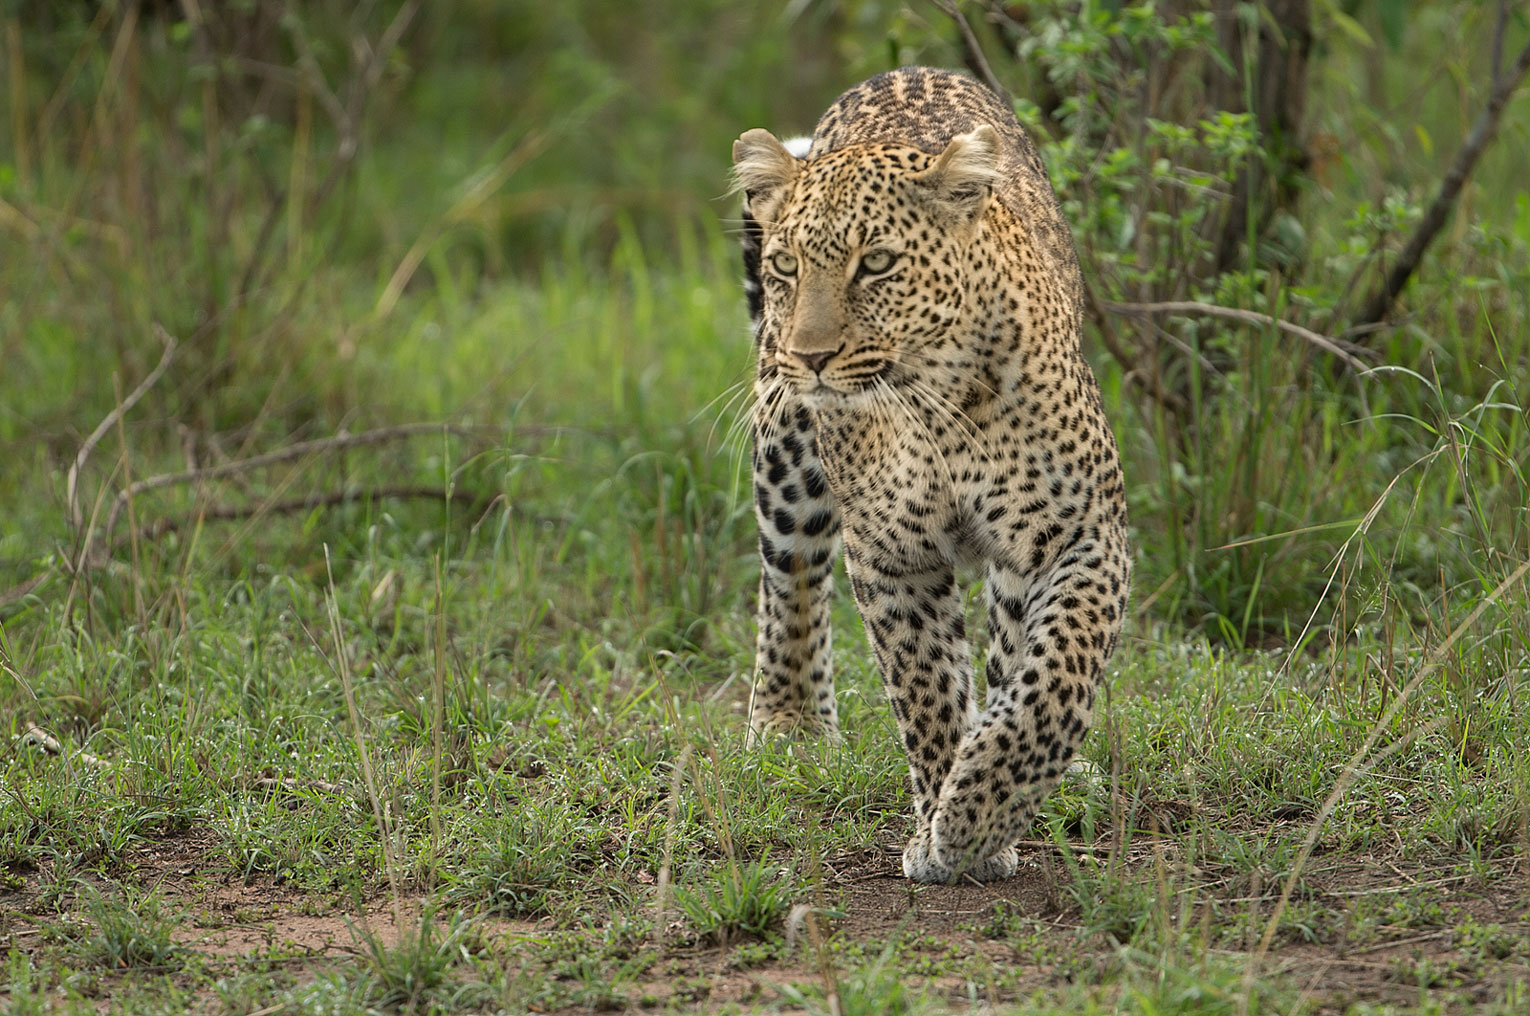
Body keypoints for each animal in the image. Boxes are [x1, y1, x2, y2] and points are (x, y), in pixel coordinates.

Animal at [734, 69, 1132, 881]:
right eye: (786, 267)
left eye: (877, 264)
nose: (810, 357)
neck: (934, 402)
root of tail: (904, 71)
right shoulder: (893, 557)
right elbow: (925, 690)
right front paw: (951, 826)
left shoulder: (1084, 535)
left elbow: (1055, 679)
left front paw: (982, 812)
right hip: (784, 448)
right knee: (789, 572)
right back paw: (790, 724)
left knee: (1012, 643)